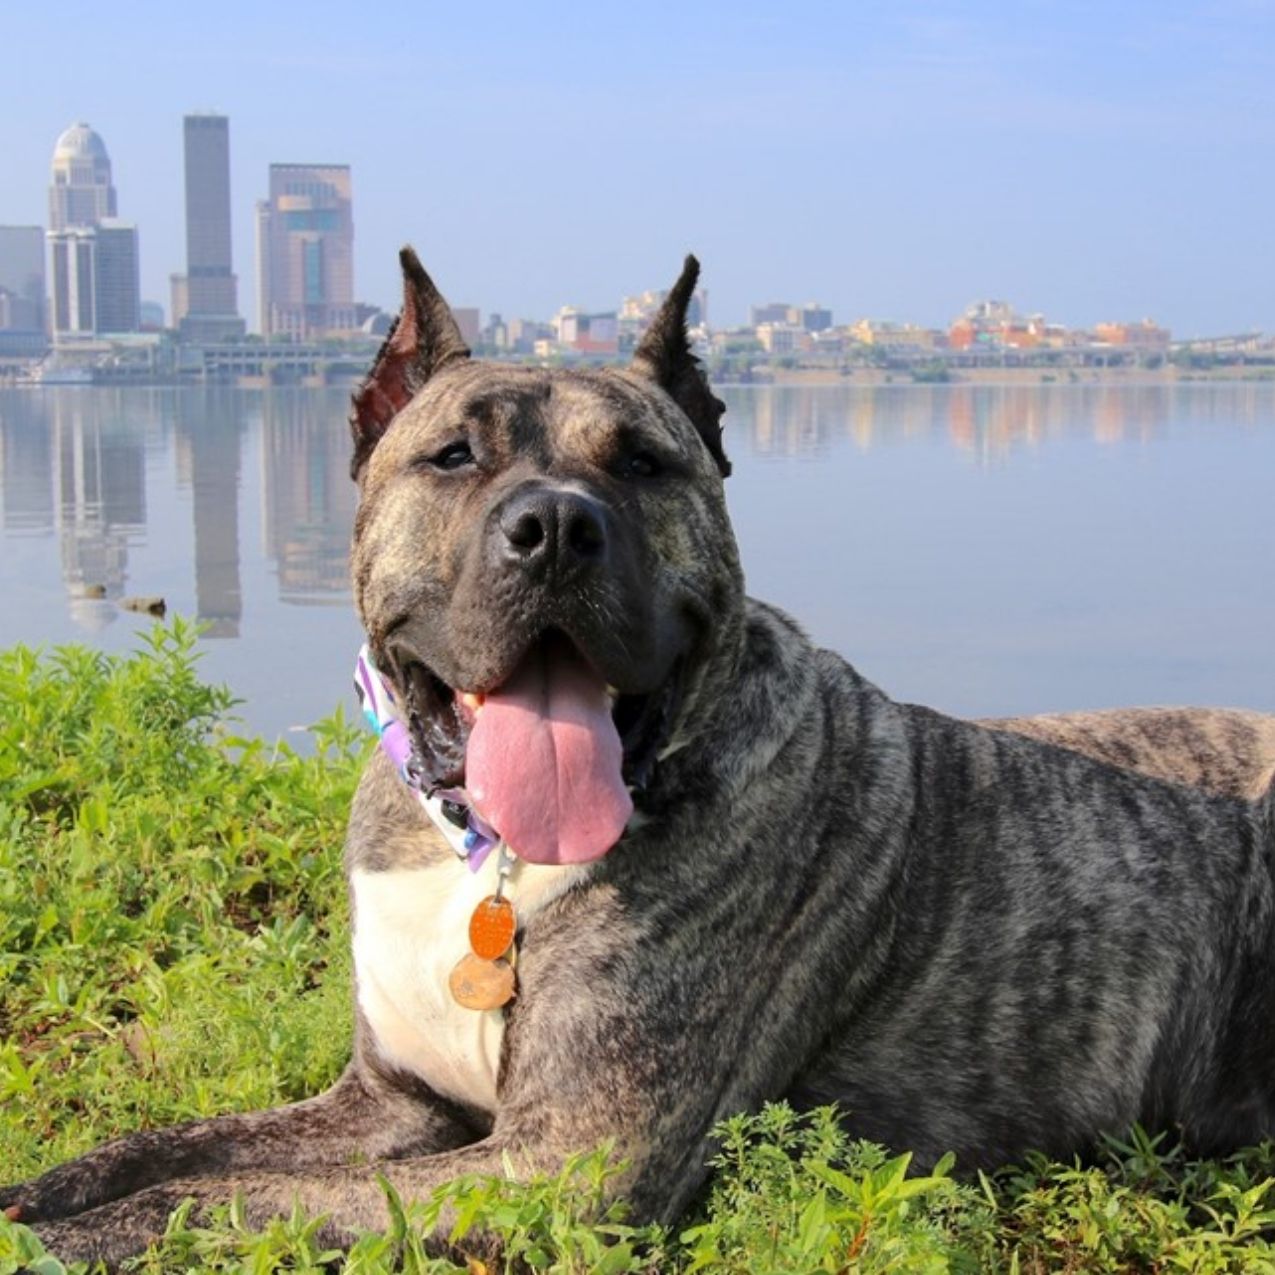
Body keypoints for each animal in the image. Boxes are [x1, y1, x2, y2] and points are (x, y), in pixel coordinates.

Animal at [6, 250, 1275, 1267]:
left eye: (648, 467)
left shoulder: (562, 1161)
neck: (486, 857)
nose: (558, 527)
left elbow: (240, 1196)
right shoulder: (387, 1100)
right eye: (452, 456)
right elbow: (175, 1149)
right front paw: (46, 1191)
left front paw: (85, 1232)